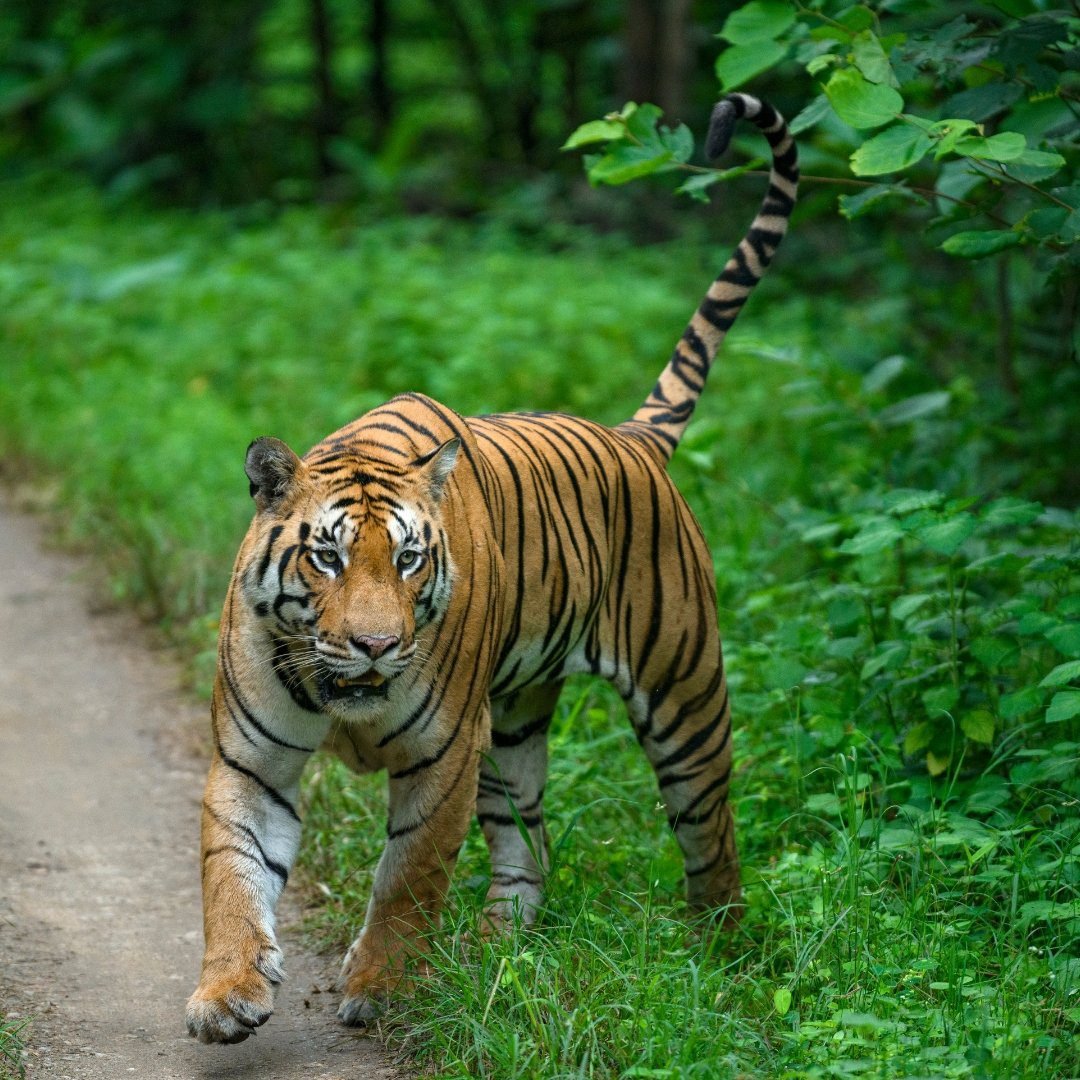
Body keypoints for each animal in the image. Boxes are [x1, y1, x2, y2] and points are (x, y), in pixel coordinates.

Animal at [185, 91, 798, 1044]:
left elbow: (408, 877)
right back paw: (494, 949)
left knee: (713, 838)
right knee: (530, 841)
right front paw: (227, 994)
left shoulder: (444, 757)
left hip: (684, 698)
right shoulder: (253, 760)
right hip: (513, 728)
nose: (374, 647)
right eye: (326, 557)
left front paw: (383, 986)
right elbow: (231, 875)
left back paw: (719, 958)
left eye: (407, 560)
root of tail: (632, 438)